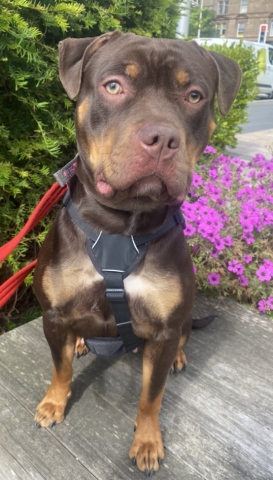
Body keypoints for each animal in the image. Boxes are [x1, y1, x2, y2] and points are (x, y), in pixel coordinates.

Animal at [33, 31, 240, 476]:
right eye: (114, 86)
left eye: (194, 95)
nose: (162, 138)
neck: (120, 224)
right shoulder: (53, 315)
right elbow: (60, 368)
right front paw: (54, 402)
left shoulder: (162, 330)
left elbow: (151, 396)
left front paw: (146, 441)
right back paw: (81, 342)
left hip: (182, 319)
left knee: (182, 338)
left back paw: (178, 358)